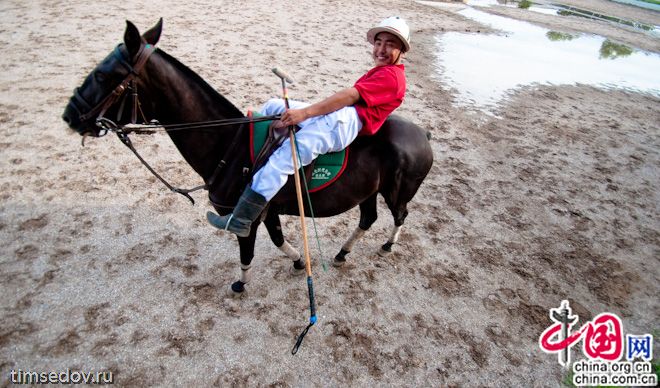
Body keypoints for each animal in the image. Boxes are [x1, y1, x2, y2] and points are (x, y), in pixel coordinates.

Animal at [62, 19, 434, 294]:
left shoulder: (248, 216)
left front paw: (241, 284)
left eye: (103, 74)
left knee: (400, 214)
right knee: (368, 218)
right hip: (368, 190)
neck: (229, 142)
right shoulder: (267, 210)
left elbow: (247, 248)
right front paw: (299, 261)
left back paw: (387, 245)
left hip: (396, 190)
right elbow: (279, 239)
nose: (69, 116)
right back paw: (343, 252)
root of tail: (424, 135)